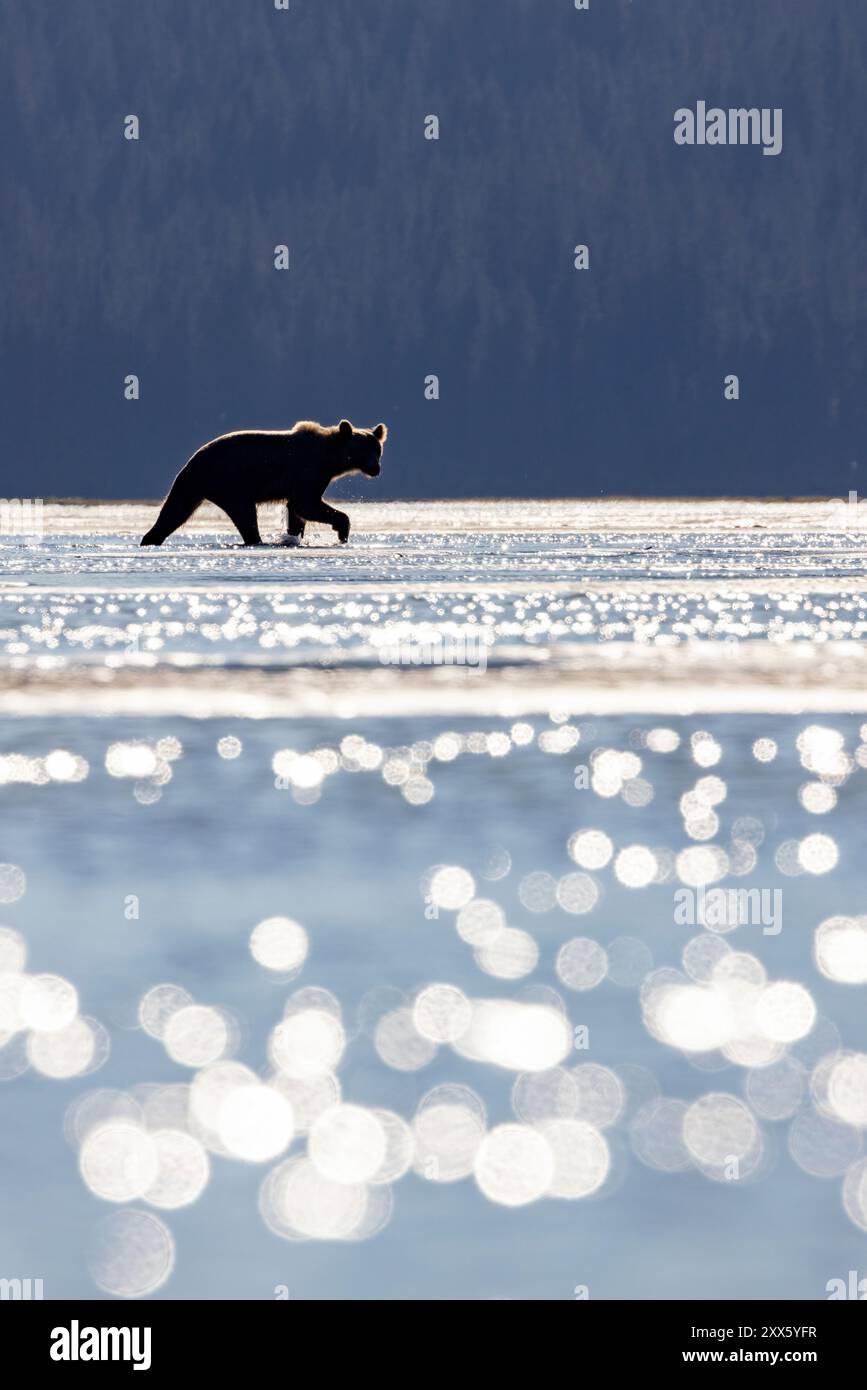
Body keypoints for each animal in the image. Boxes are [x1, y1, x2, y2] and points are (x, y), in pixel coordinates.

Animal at [140, 414, 389, 544]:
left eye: (377, 450)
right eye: (363, 450)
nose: (375, 469)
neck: (331, 458)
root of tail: (192, 459)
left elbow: (296, 510)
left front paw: (293, 536)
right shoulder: (309, 470)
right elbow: (306, 503)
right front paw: (342, 531)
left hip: (195, 485)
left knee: (175, 511)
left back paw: (150, 538)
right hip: (230, 482)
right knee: (245, 515)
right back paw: (256, 540)